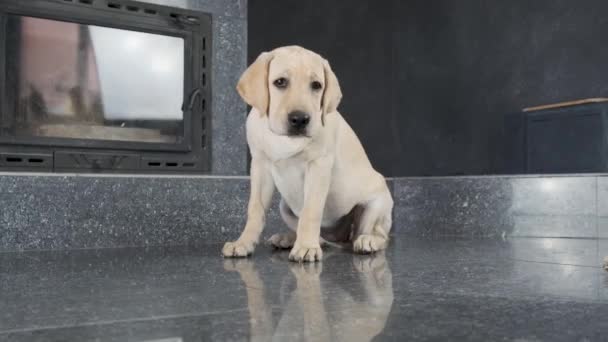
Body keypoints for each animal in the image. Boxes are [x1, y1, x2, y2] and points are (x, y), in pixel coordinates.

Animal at [223, 45, 394, 262]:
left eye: (316, 85)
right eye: (280, 82)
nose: (300, 119)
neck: (285, 139)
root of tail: (341, 238)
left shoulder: (318, 165)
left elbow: (310, 211)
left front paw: (305, 247)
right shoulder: (260, 165)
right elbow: (255, 209)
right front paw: (243, 243)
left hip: (375, 207)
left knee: (378, 235)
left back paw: (367, 240)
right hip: (285, 207)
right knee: (319, 236)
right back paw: (289, 238)